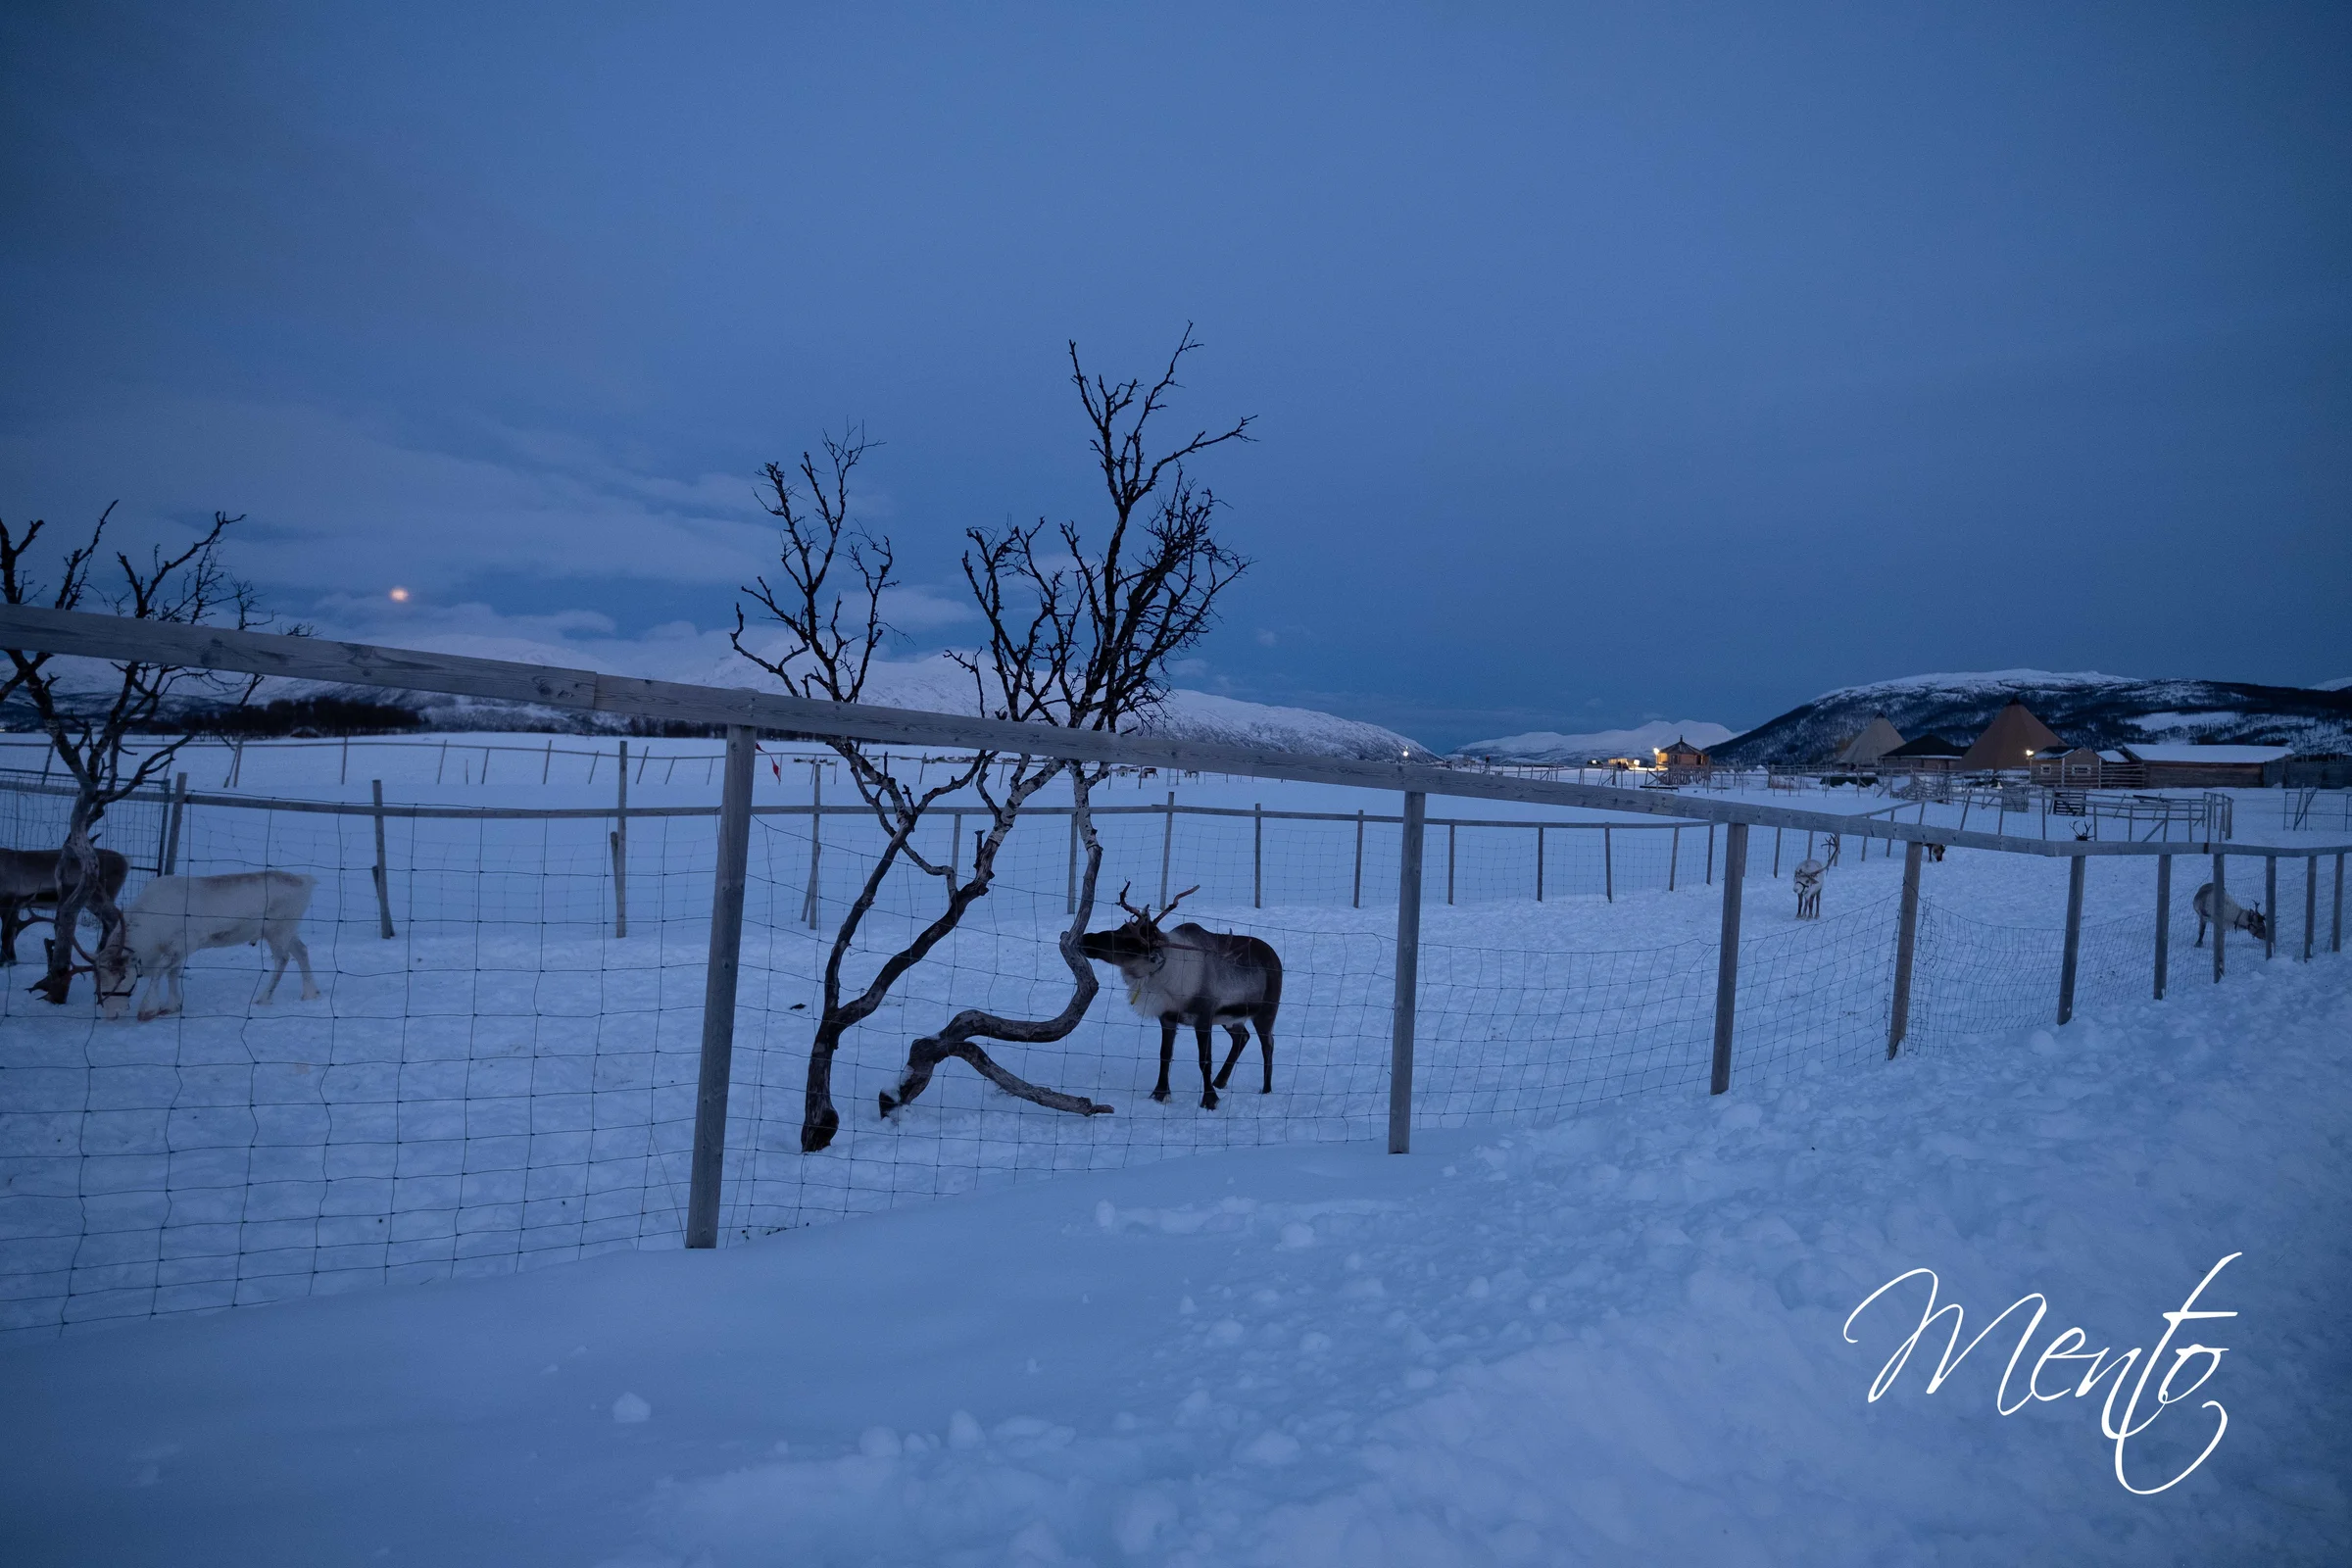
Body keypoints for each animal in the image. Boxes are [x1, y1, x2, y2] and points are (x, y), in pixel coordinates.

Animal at [94, 870, 322, 1022]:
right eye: (99, 980)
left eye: (122, 976)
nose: (112, 1014)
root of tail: (306, 881)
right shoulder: (177, 949)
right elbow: (173, 973)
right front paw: (172, 1006)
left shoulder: (187, 942)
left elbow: (161, 972)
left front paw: (147, 1010)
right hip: (286, 932)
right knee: (302, 951)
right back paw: (310, 994)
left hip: (278, 931)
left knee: (283, 959)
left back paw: (263, 999)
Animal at [1077, 884, 1282, 1110]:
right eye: (1122, 928)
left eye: (1132, 945)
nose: (1086, 939)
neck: (1167, 978)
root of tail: (1274, 956)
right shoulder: (1167, 1018)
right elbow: (1165, 1055)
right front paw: (1159, 1094)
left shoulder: (1203, 1018)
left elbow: (1205, 1060)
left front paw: (1209, 1100)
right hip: (1230, 1018)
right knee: (1242, 1037)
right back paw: (1220, 1081)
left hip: (1266, 1012)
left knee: (1268, 1045)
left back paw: (1266, 1089)